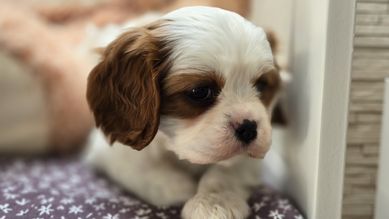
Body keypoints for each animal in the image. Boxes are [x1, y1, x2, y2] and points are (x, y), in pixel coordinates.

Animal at [85, 6, 282, 219]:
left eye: (262, 86)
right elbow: (142, 168)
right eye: (200, 92)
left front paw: (214, 202)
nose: (248, 129)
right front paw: (180, 188)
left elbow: (227, 172)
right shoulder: (111, 152)